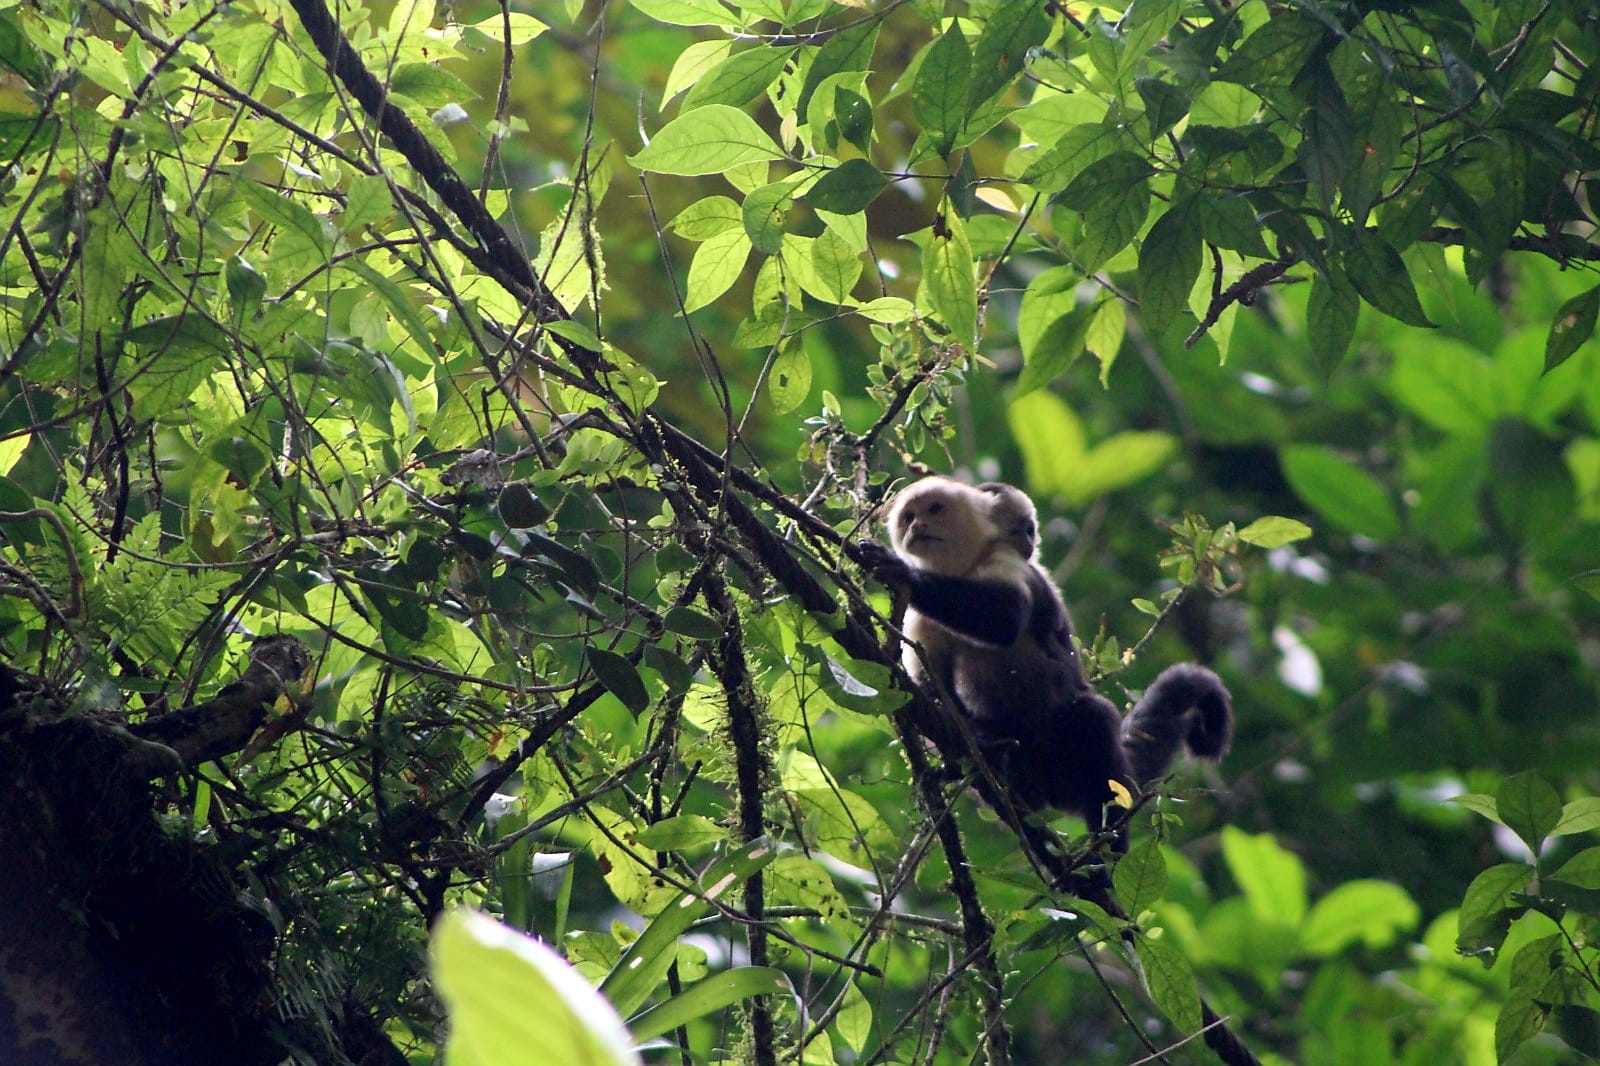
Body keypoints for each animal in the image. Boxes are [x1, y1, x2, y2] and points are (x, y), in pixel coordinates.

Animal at [855, 476, 1232, 837]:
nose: (916, 526)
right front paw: (968, 739)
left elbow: (1005, 618)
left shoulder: (1006, 560)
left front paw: (899, 569)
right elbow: (930, 685)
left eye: (934, 509)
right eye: (908, 517)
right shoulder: (920, 622)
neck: (960, 567)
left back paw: (1104, 846)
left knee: (1092, 721)